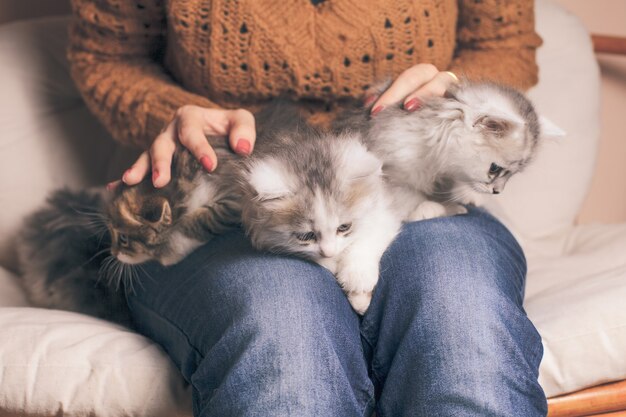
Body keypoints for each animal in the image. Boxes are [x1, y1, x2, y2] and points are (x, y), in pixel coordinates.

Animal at [239, 107, 400, 312]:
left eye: (344, 227)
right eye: (306, 236)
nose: (329, 252)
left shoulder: (385, 211)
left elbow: (368, 237)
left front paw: (358, 279)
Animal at [338, 81, 564, 223]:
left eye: (512, 174)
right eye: (494, 169)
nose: (498, 192)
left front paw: (465, 197)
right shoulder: (387, 167)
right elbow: (402, 195)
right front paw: (430, 208)